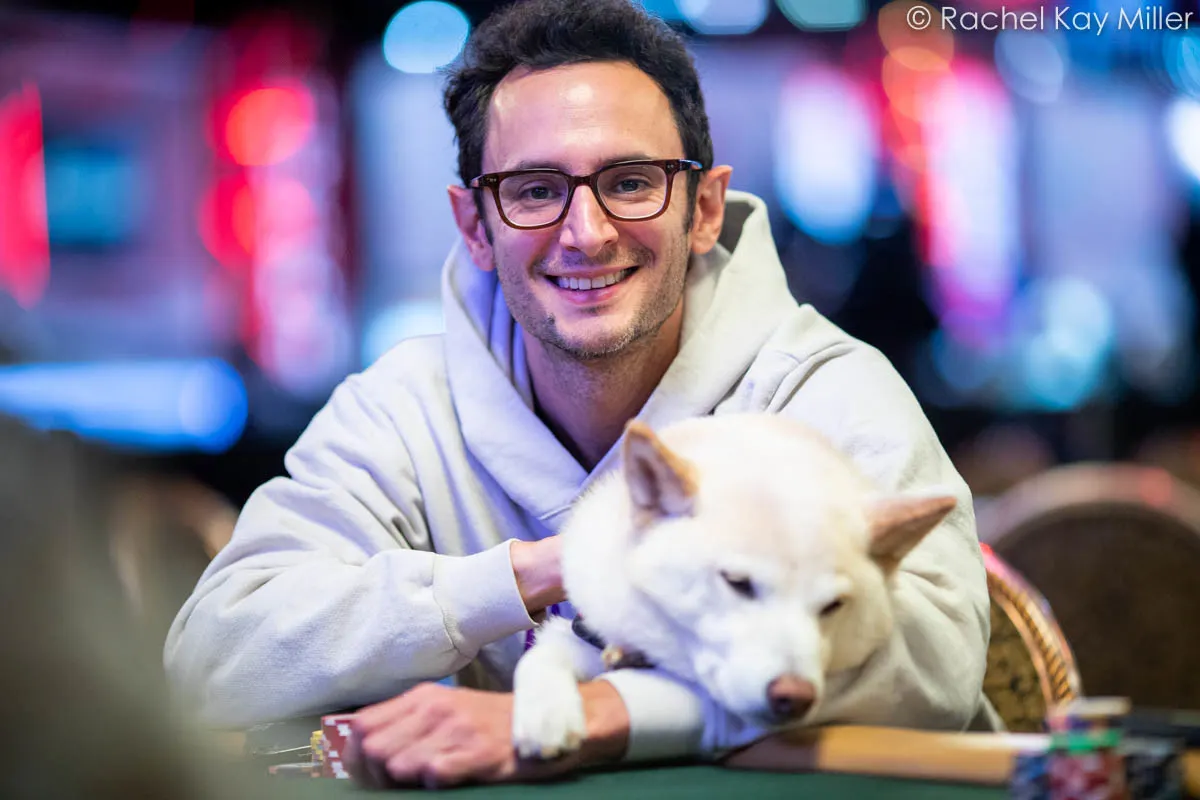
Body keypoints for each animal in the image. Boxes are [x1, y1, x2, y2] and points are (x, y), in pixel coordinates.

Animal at [511, 413, 956, 759]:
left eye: (833, 606)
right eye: (738, 583)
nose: (793, 697)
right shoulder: (583, 631)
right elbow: (541, 658)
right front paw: (545, 712)